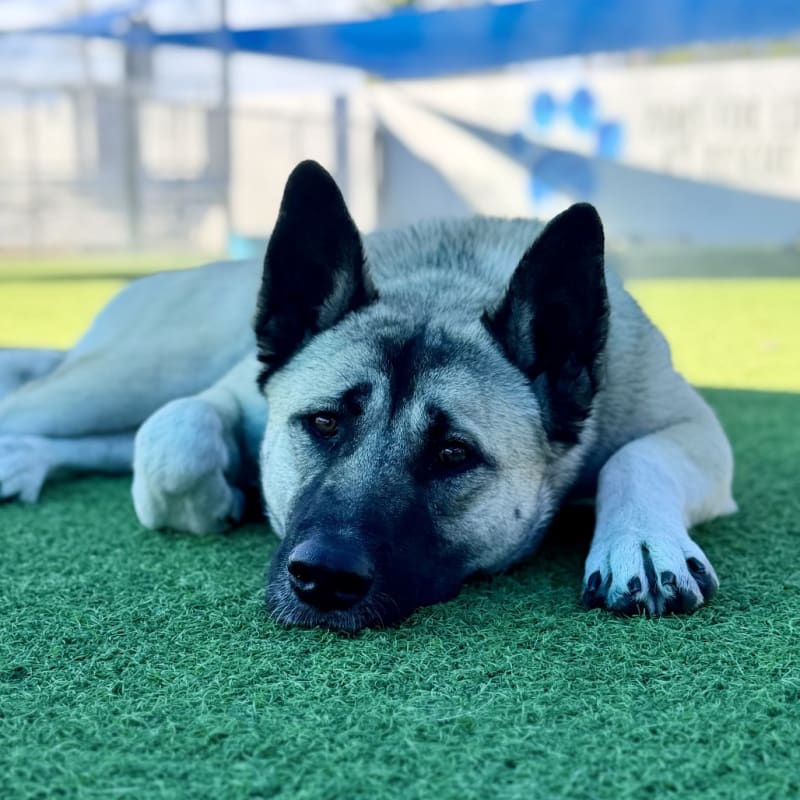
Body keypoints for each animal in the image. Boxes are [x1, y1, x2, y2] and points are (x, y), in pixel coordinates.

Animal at [0, 160, 736, 631]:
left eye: (453, 454)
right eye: (323, 422)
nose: (324, 578)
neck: (448, 283)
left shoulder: (694, 428)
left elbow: (637, 457)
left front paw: (639, 541)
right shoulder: (231, 395)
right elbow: (174, 443)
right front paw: (218, 496)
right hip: (129, 376)